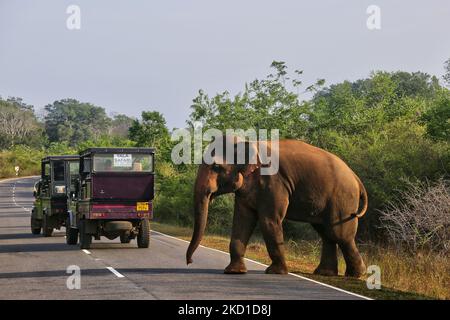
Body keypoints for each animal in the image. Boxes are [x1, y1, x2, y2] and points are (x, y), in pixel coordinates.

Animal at [185, 136, 368, 276]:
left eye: (216, 167)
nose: (190, 261)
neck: (247, 141)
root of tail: (356, 178)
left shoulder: (273, 182)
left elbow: (269, 221)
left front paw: (275, 272)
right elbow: (242, 220)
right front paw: (234, 272)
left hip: (343, 199)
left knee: (339, 234)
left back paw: (356, 275)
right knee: (326, 233)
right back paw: (325, 273)